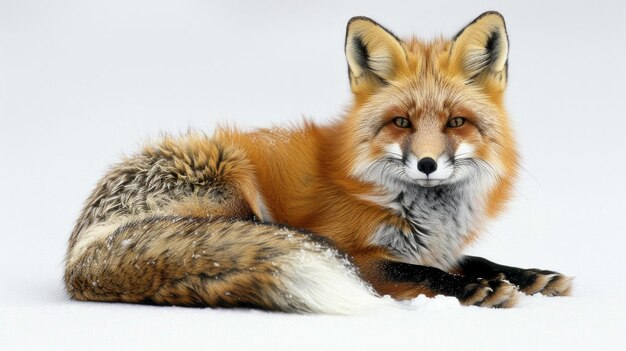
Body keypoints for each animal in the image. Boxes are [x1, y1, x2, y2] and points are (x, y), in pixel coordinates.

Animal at [64, 12, 572, 314]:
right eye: (401, 122)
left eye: (456, 122)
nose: (427, 164)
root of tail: (78, 256)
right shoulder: (362, 257)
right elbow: (422, 272)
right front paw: (471, 289)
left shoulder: (438, 246)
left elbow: (477, 259)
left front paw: (527, 276)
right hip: (233, 183)